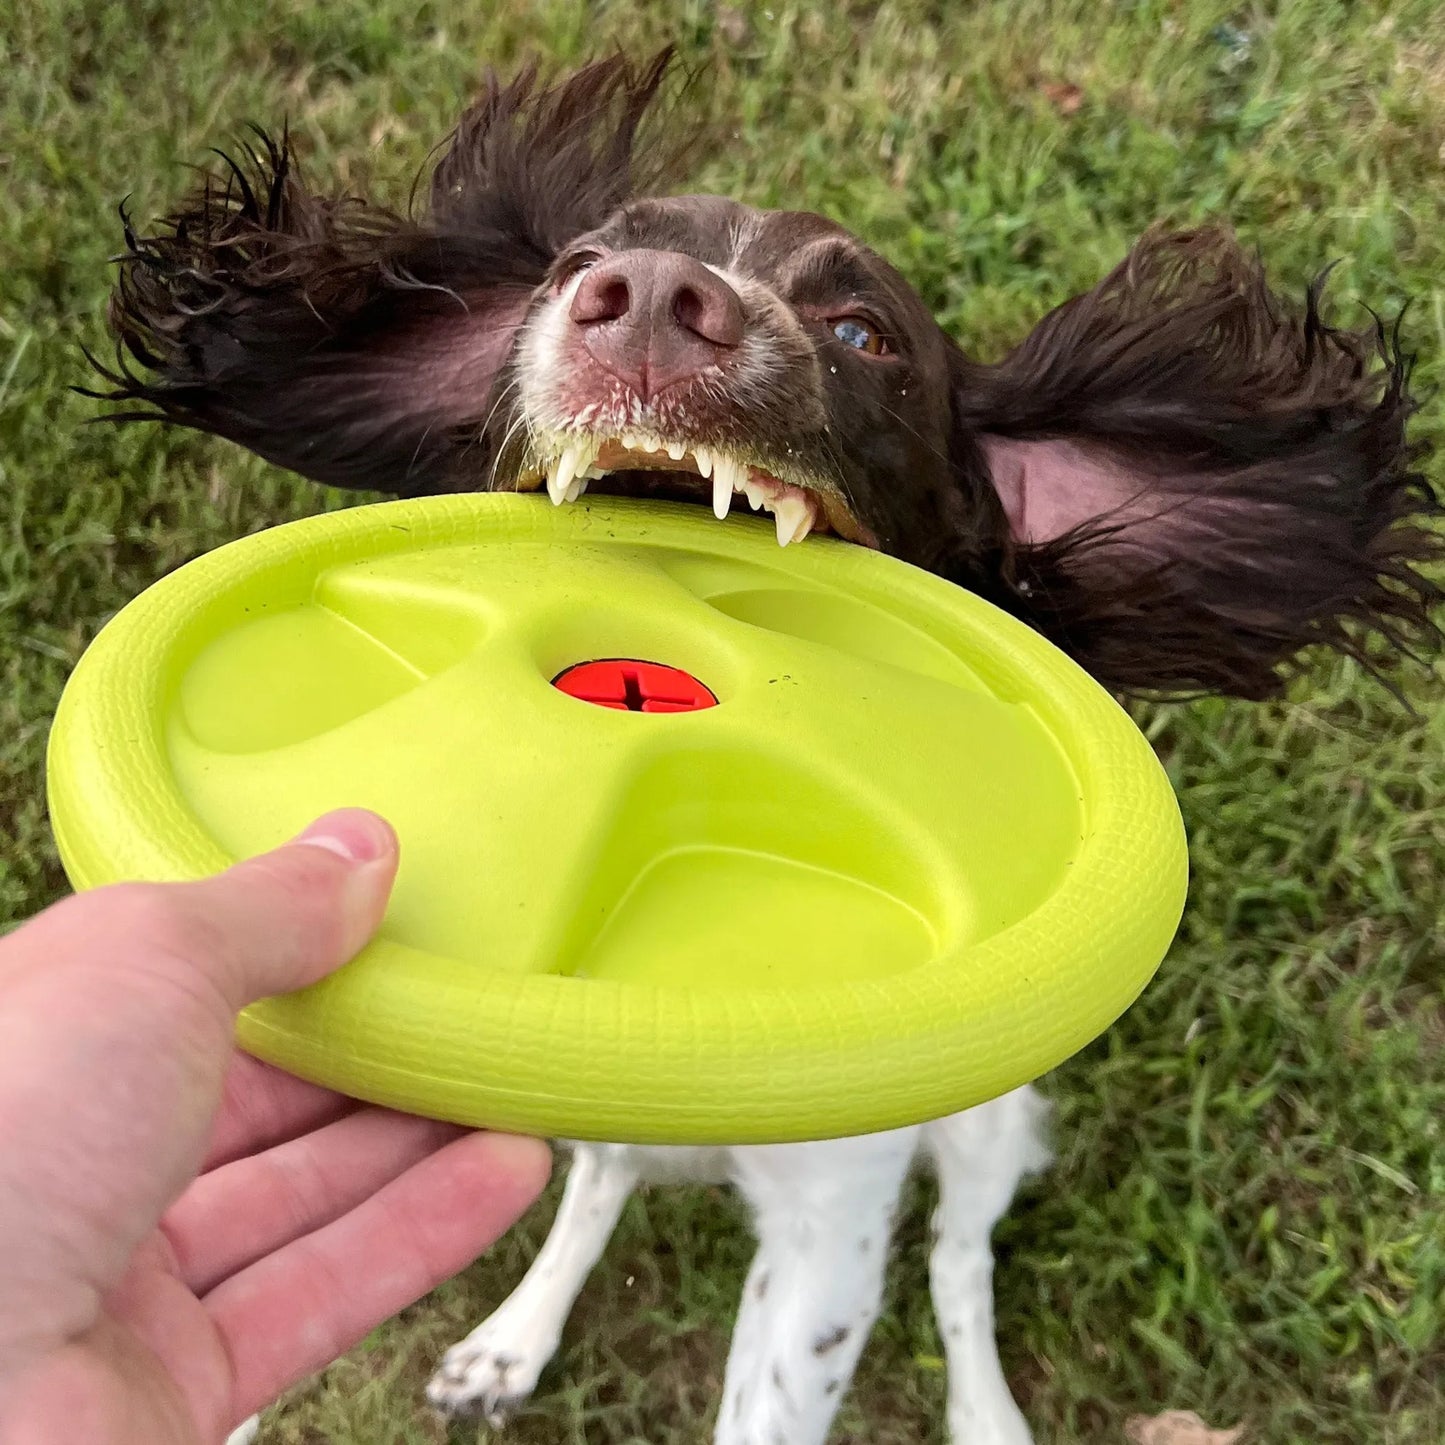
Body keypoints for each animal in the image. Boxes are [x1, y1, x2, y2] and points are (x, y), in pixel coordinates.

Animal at [96, 50, 1439, 1439]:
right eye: (575, 260)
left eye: (862, 334)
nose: (645, 300)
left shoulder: (829, 1226)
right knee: (601, 1178)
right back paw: (511, 1337)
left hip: (989, 1125)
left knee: (958, 1259)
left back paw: (983, 1406)